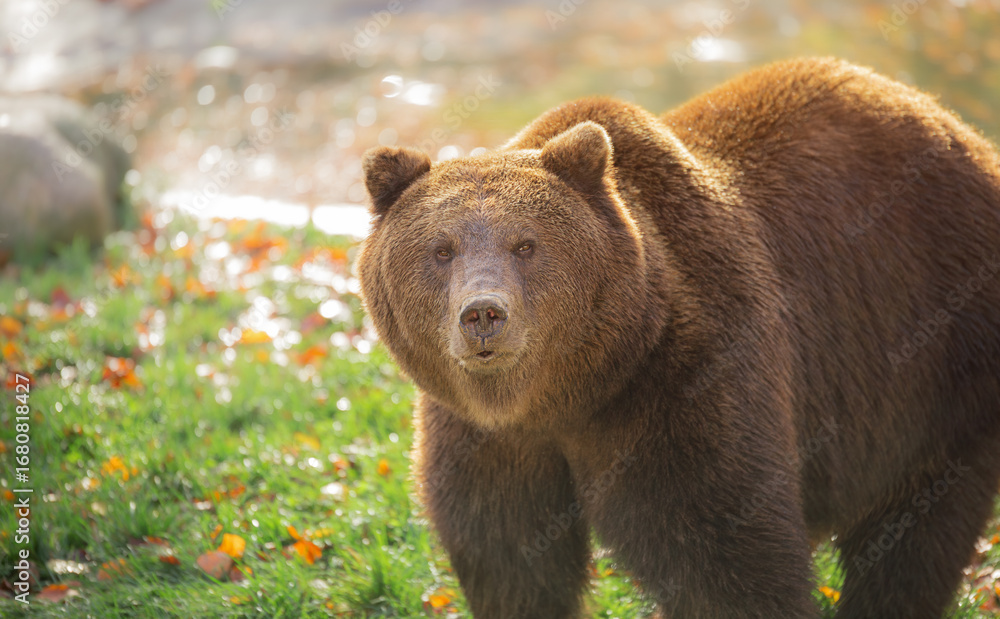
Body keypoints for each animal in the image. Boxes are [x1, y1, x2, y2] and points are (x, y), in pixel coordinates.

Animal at [357, 57, 1000, 619]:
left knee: (916, 532)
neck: (567, 394)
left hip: (936, 353)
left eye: (526, 244)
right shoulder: (482, 438)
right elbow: (509, 560)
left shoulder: (684, 383)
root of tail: (961, 129)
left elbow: (723, 558)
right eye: (441, 249)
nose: (483, 314)